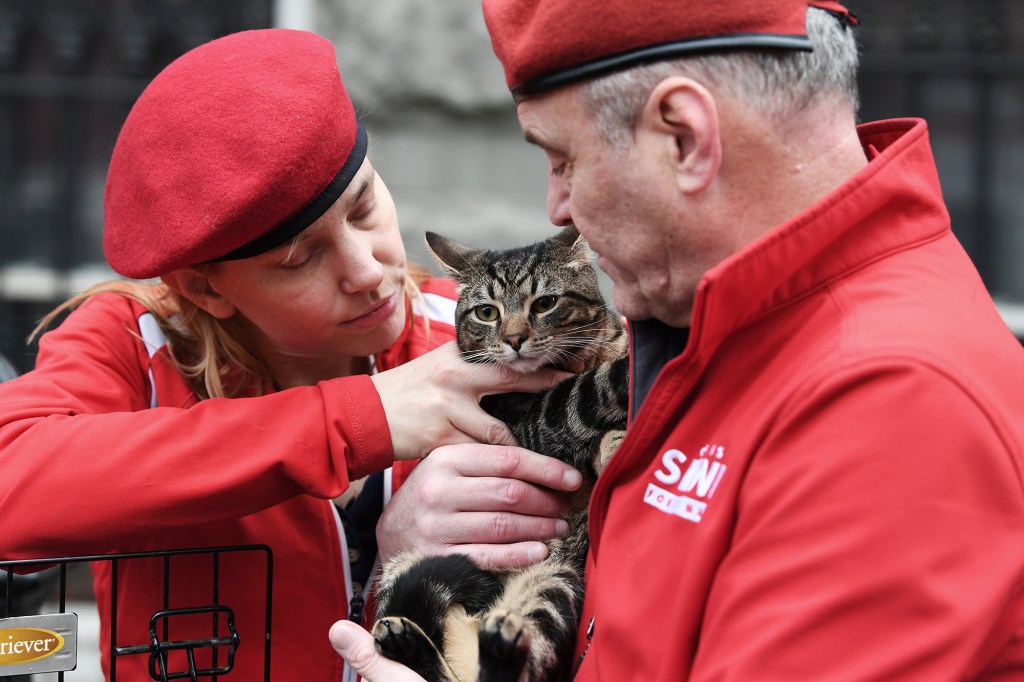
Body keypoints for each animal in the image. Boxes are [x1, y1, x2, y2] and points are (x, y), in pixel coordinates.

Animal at [370, 225, 622, 675]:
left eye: (545, 303)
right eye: (486, 312)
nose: (514, 338)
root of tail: (482, 617)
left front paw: (614, 442)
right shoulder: (527, 420)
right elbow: (584, 393)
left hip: (553, 585)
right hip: (406, 562)